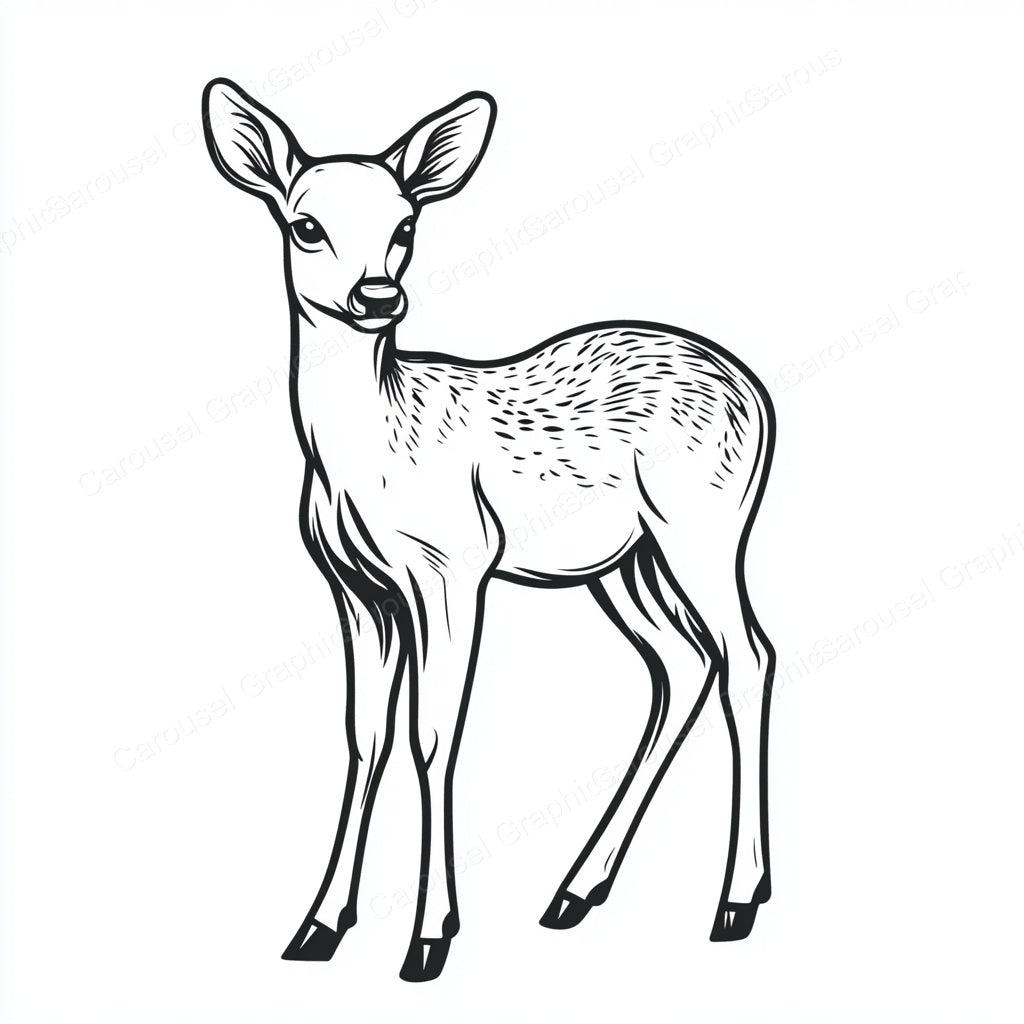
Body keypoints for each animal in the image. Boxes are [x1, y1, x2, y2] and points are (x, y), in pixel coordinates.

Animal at [202, 78, 777, 983]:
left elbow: (434, 735)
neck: (370, 452)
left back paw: (735, 901)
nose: (377, 295)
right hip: (626, 562)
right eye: (306, 224)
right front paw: (319, 927)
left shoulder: (454, 567)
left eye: (405, 225)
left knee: (749, 655)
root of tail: (756, 393)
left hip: (707, 524)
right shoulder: (356, 589)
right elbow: (364, 736)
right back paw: (575, 891)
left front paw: (430, 939)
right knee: (684, 666)